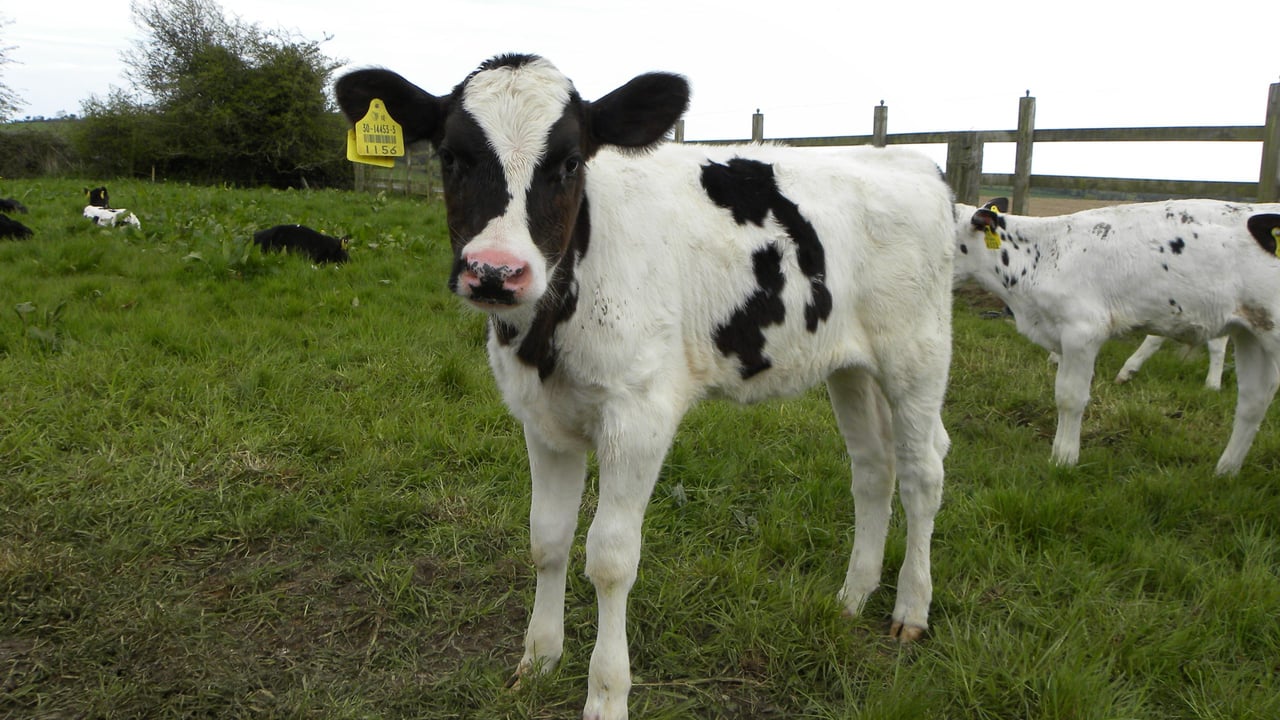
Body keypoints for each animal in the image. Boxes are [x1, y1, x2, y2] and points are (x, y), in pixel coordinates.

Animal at [336, 54, 955, 720]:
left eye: (569, 161)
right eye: (451, 156)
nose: (496, 272)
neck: (547, 333)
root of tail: (910, 161)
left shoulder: (639, 415)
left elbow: (610, 560)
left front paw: (606, 694)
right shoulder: (541, 418)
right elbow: (546, 539)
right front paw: (539, 660)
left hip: (917, 354)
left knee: (922, 472)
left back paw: (910, 609)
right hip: (849, 365)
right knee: (872, 468)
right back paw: (851, 596)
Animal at [955, 197, 1280, 475]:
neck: (1041, 255)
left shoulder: (1082, 330)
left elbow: (1070, 397)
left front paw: (1064, 458)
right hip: (1251, 332)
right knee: (1253, 401)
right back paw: (1225, 472)